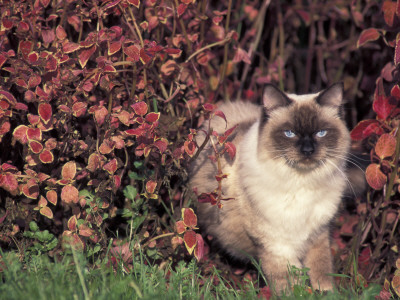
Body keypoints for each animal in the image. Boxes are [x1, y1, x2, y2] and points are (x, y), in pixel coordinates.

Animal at [189, 82, 348, 292]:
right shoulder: (275, 243)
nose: (307, 150)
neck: (300, 182)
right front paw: (297, 293)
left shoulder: (318, 234)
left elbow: (321, 269)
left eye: (321, 133)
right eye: (289, 133)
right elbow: (289, 281)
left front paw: (323, 292)